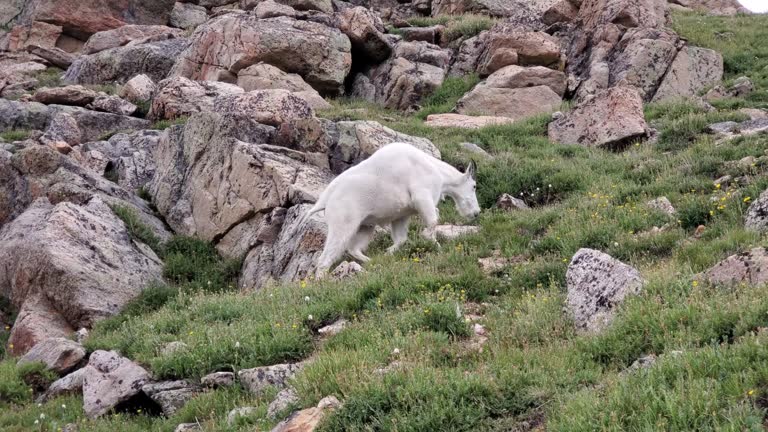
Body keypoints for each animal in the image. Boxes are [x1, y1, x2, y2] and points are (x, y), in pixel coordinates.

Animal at [302, 142, 476, 276]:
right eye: (474, 186)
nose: (476, 212)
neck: (437, 171)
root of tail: (324, 200)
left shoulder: (402, 215)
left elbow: (401, 239)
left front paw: (389, 252)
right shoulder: (422, 195)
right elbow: (433, 220)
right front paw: (431, 241)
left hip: (365, 225)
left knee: (353, 248)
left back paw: (371, 261)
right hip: (343, 223)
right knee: (326, 258)